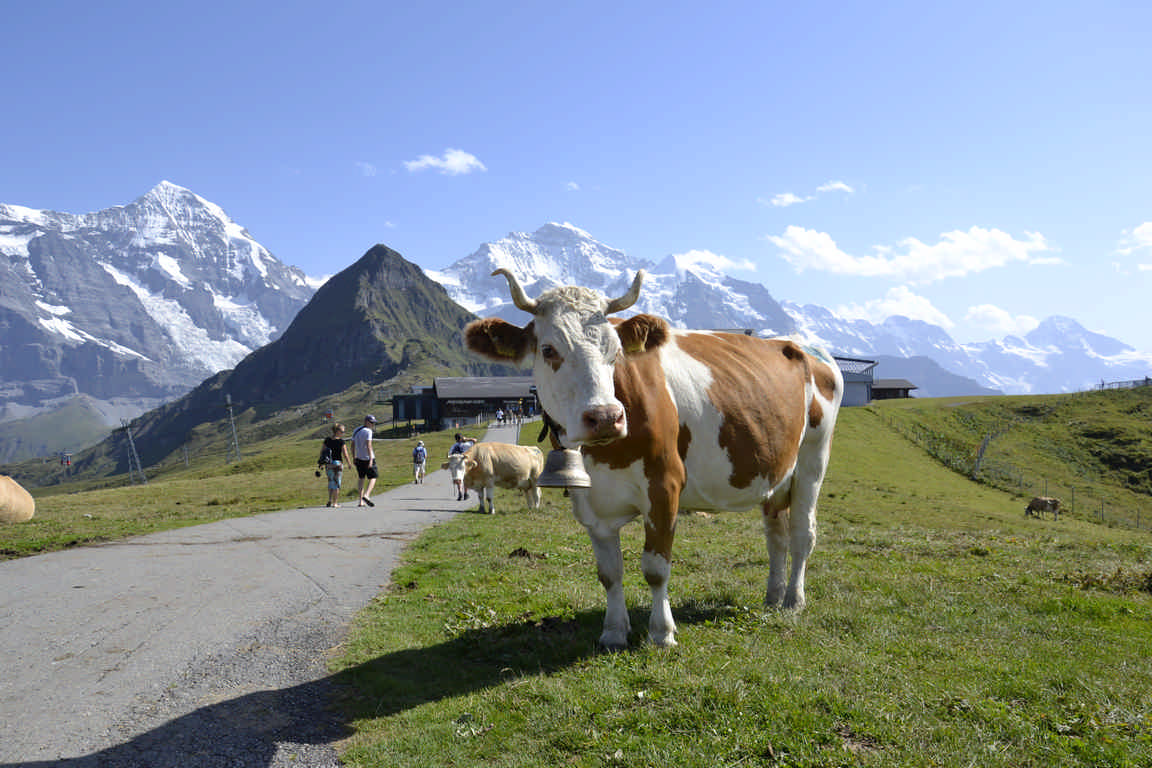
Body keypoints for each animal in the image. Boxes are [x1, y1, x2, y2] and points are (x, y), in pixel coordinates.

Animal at [463, 270, 843, 649]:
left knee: (802, 532)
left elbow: (656, 569)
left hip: (813, 459)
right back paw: (773, 596)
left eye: (616, 351)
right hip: (775, 473)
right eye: (548, 350)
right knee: (776, 534)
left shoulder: (665, 486)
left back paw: (793, 600)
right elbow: (609, 573)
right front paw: (614, 631)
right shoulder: (592, 504)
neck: (605, 455)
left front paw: (662, 633)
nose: (605, 417)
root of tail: (800, 344)